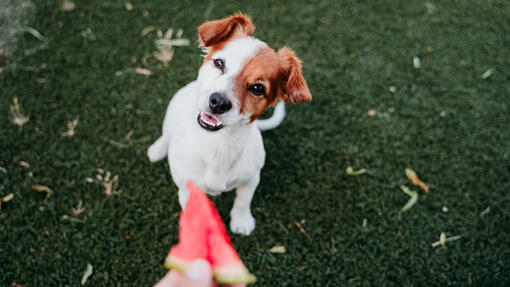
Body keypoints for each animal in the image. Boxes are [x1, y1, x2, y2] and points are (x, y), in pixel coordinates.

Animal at [145, 12, 308, 236]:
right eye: (219, 63)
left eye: (258, 88)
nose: (218, 102)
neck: (218, 144)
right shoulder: (188, 190)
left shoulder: (251, 179)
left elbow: (242, 201)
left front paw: (241, 221)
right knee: (165, 135)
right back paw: (158, 149)